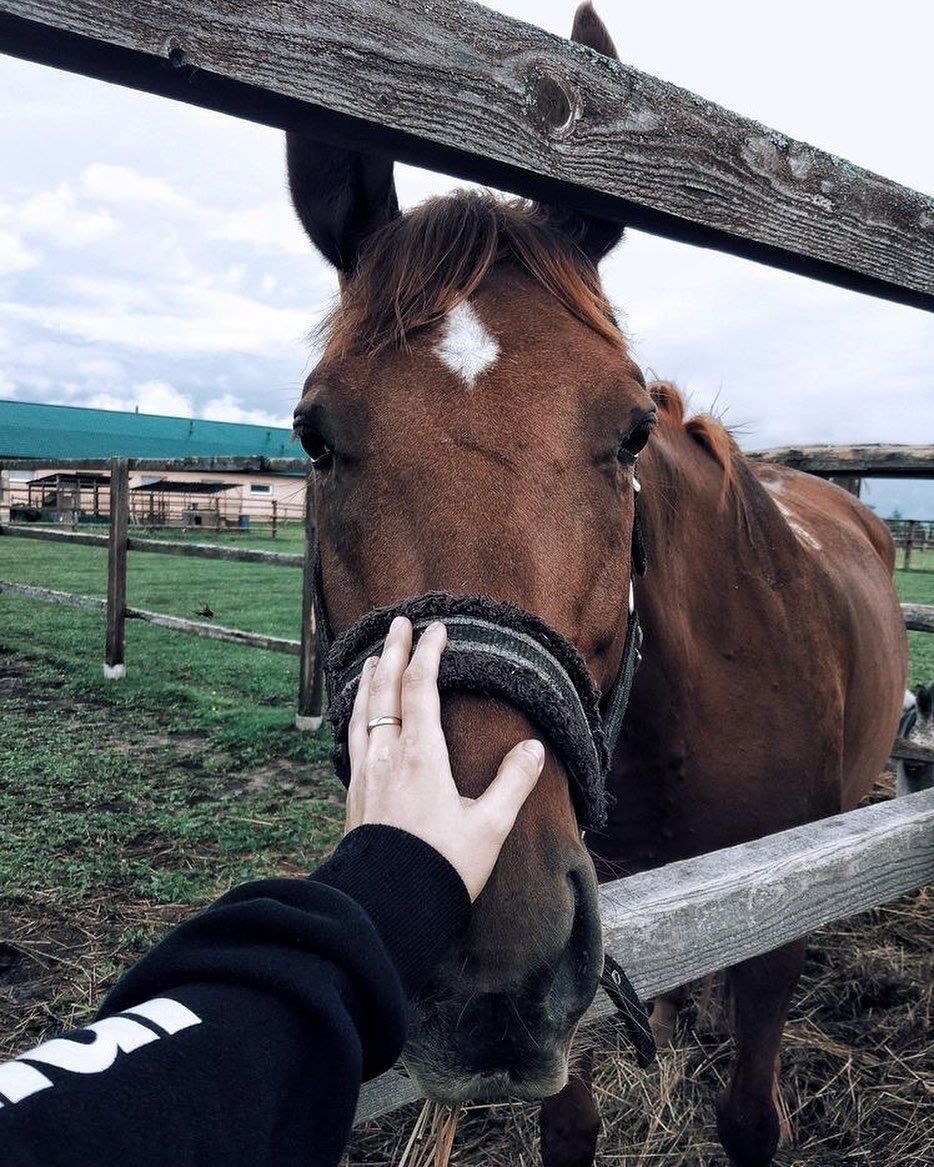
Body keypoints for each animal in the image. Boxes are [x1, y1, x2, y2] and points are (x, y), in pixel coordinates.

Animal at [286, 7, 907, 1163]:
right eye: (313, 435)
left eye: (629, 429)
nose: (486, 959)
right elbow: (569, 1124)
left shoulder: (781, 911)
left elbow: (750, 1116)